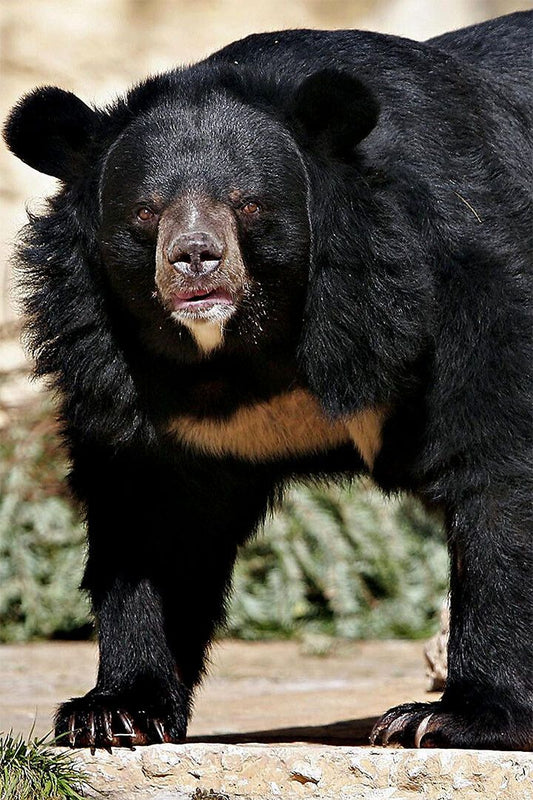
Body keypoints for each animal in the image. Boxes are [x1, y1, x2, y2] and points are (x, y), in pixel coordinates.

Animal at [3, 10, 532, 751]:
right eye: (145, 211)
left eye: (247, 205)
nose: (194, 258)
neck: (243, 350)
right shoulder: (126, 369)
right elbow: (152, 513)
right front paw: (113, 711)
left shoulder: (469, 281)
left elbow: (496, 468)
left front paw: (447, 718)